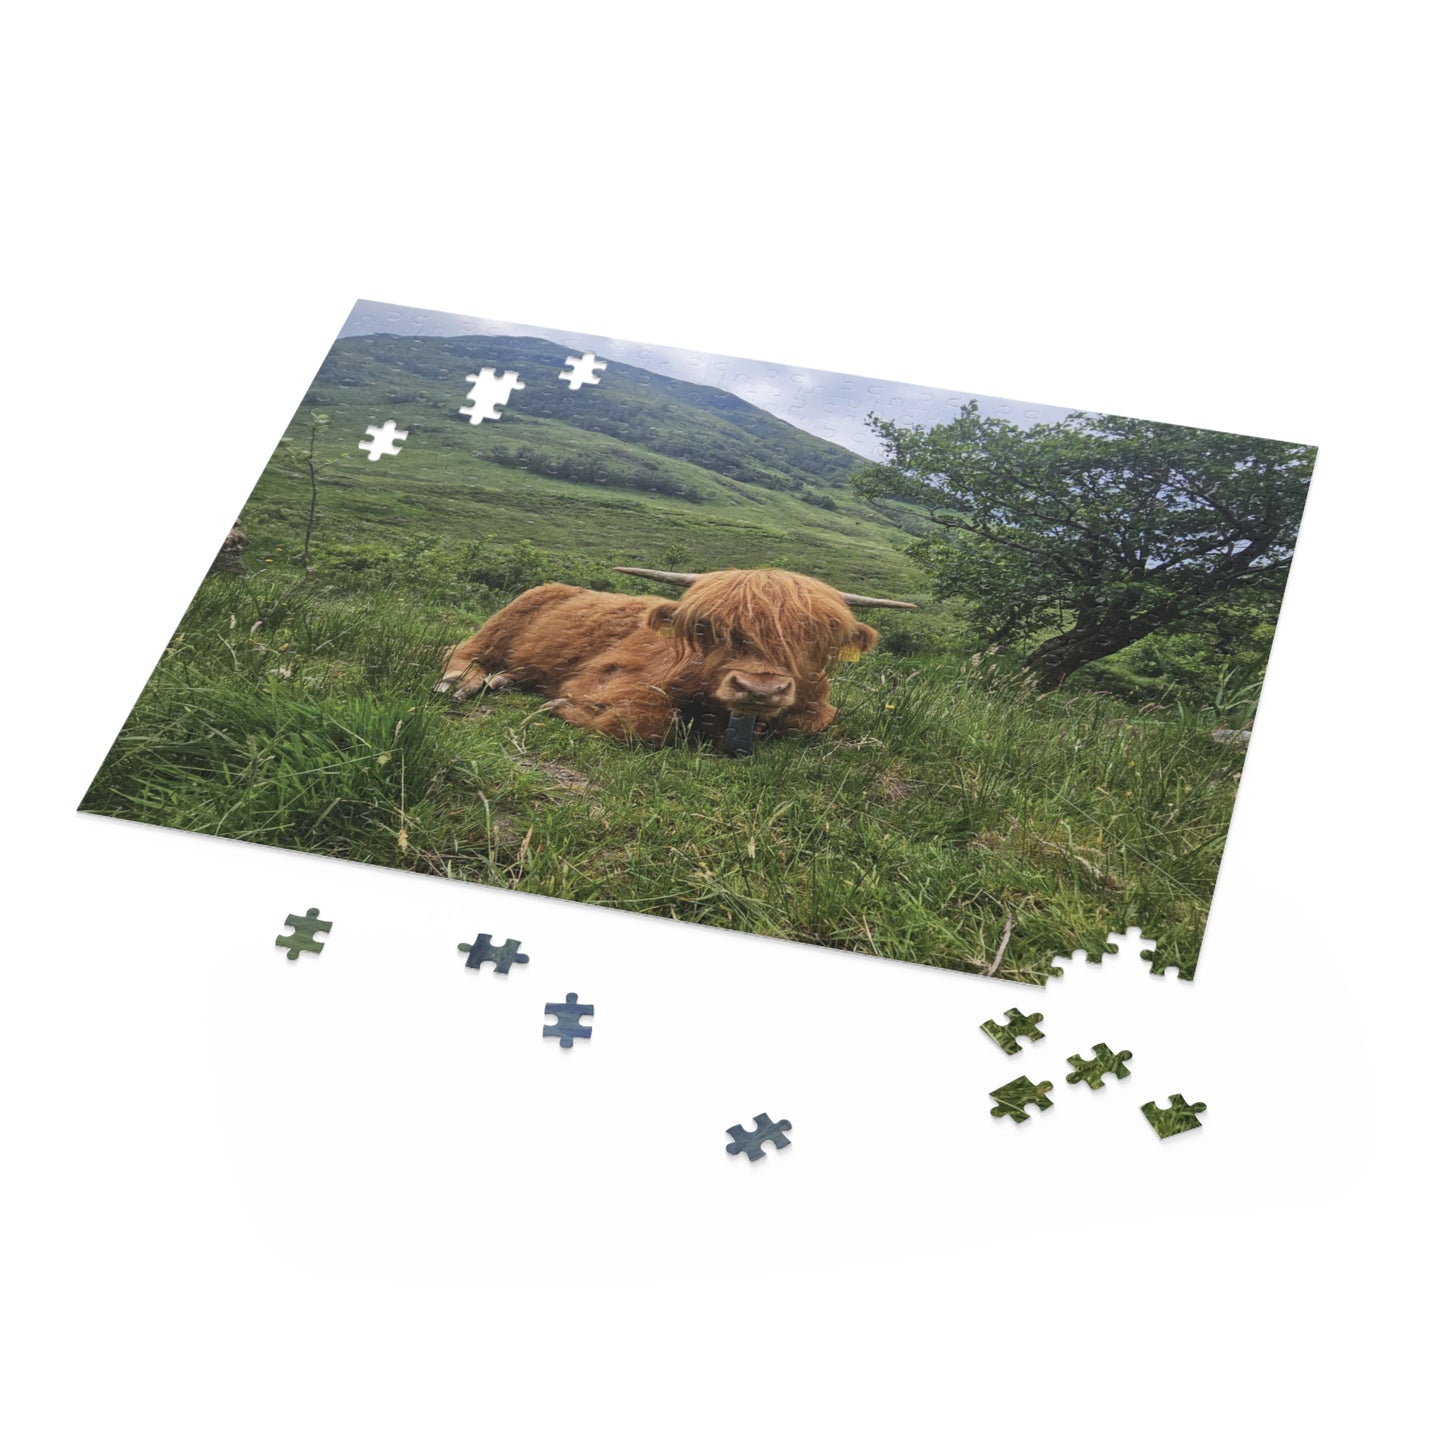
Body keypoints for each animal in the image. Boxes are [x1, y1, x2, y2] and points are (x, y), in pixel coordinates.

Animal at [435, 567, 916, 749]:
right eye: (708, 628)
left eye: (812, 639)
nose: (759, 688)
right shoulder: (608, 672)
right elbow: (650, 720)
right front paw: (564, 707)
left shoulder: (816, 706)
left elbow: (811, 722)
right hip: (499, 627)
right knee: (461, 651)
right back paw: (463, 683)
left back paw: (499, 681)